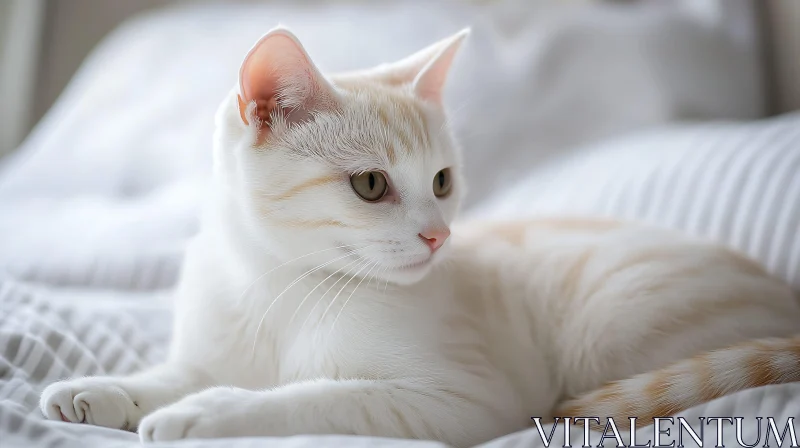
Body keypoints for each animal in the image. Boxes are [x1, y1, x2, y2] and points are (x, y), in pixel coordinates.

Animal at [40, 28, 800, 448]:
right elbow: (169, 376)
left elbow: (317, 398)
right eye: (372, 185)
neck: (278, 285)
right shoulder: (210, 345)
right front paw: (101, 392)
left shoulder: (468, 400)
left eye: (441, 181)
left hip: (612, 332)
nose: (439, 237)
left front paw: (210, 413)